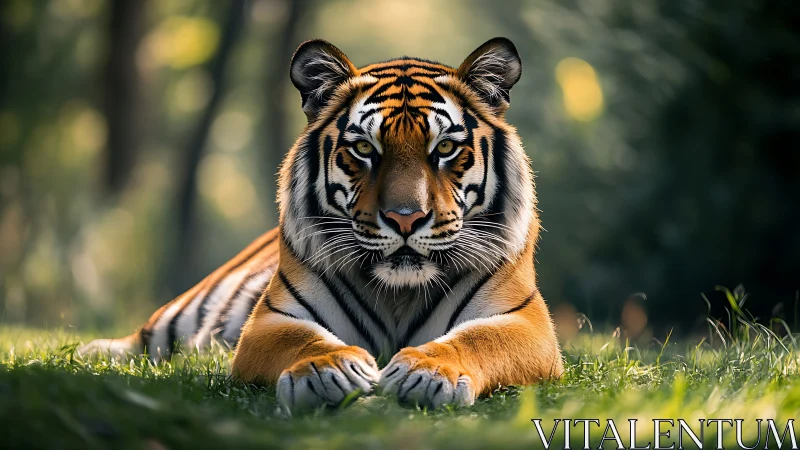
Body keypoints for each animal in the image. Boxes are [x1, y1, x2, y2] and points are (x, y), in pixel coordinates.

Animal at [81, 37, 564, 413]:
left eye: (444, 148)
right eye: (364, 149)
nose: (405, 218)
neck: (400, 294)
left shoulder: (525, 322)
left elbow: (476, 340)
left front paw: (426, 372)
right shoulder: (271, 319)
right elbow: (303, 340)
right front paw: (326, 370)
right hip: (185, 311)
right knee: (146, 337)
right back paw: (93, 352)